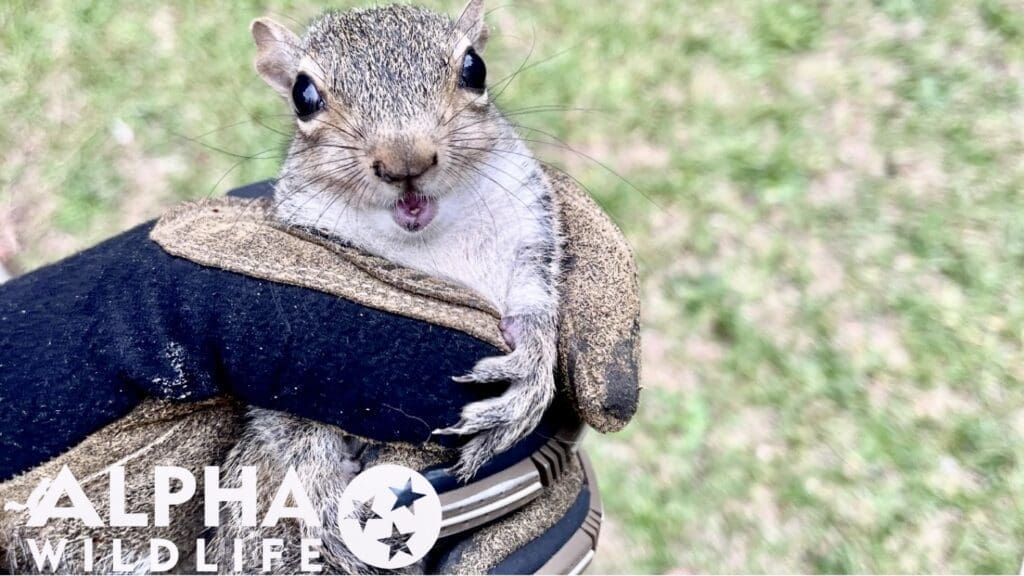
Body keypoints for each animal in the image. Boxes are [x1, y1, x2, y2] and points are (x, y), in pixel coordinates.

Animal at [211, 1, 562, 571]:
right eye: (303, 95)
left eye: (475, 68)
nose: (405, 160)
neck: (424, 241)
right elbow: (287, 419)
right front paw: (319, 489)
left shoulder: (530, 230)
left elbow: (536, 303)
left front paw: (528, 373)